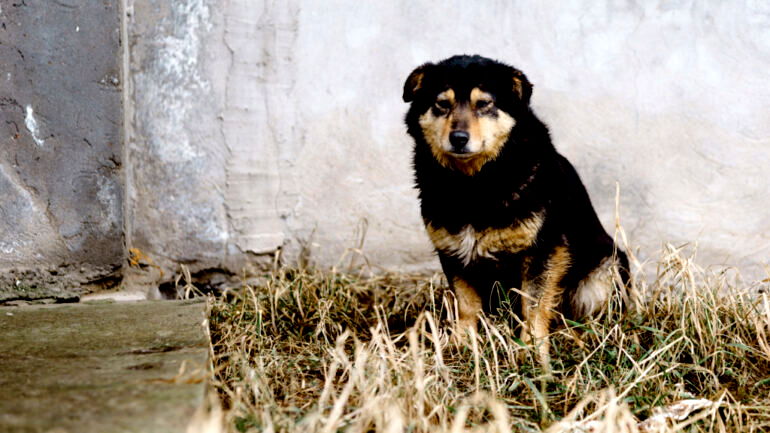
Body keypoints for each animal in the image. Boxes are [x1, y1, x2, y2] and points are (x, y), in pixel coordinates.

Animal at [400, 54, 628, 372]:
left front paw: (533, 353)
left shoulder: (544, 251)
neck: (473, 183)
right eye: (441, 104)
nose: (459, 138)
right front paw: (462, 345)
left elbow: (533, 306)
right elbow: (466, 305)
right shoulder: (453, 251)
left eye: (484, 104)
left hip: (606, 270)